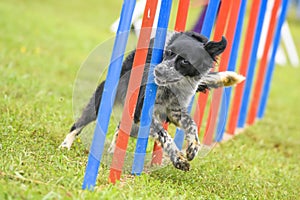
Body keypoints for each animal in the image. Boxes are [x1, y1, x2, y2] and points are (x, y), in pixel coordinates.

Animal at [59, 30, 245, 171]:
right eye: (168, 52)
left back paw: (113, 149)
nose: (158, 71)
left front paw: (193, 147)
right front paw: (178, 159)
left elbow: (191, 124)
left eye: (185, 61)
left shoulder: (174, 112)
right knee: (78, 124)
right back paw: (65, 145)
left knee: (121, 127)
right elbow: (164, 135)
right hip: (102, 99)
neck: (172, 87)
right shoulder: (142, 111)